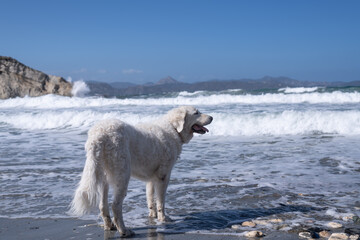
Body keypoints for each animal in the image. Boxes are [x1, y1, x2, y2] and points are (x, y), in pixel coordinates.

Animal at [69, 105, 212, 236]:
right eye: (196, 113)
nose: (212, 117)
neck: (173, 128)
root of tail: (99, 135)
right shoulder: (163, 176)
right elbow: (161, 201)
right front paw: (163, 218)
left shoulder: (152, 178)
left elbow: (150, 197)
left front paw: (153, 215)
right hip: (123, 175)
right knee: (115, 205)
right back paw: (124, 230)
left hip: (104, 176)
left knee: (103, 206)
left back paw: (110, 227)